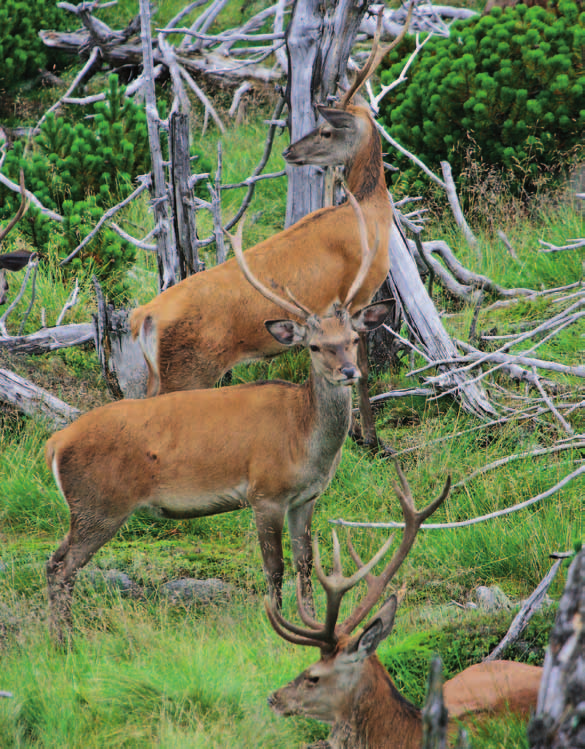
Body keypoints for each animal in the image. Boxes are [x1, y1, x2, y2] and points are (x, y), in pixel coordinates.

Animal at [45, 191, 392, 636]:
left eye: (352, 339)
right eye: (314, 347)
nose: (348, 371)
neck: (304, 440)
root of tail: (55, 444)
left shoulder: (305, 498)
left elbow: (304, 563)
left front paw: (312, 620)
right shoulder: (264, 492)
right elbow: (274, 567)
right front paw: (278, 625)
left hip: (91, 508)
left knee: (57, 563)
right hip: (98, 505)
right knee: (61, 565)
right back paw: (63, 638)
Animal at [128, 14, 404, 400]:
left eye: (325, 131)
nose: (289, 151)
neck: (371, 209)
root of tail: (144, 317)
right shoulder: (361, 293)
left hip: (163, 375)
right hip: (186, 371)